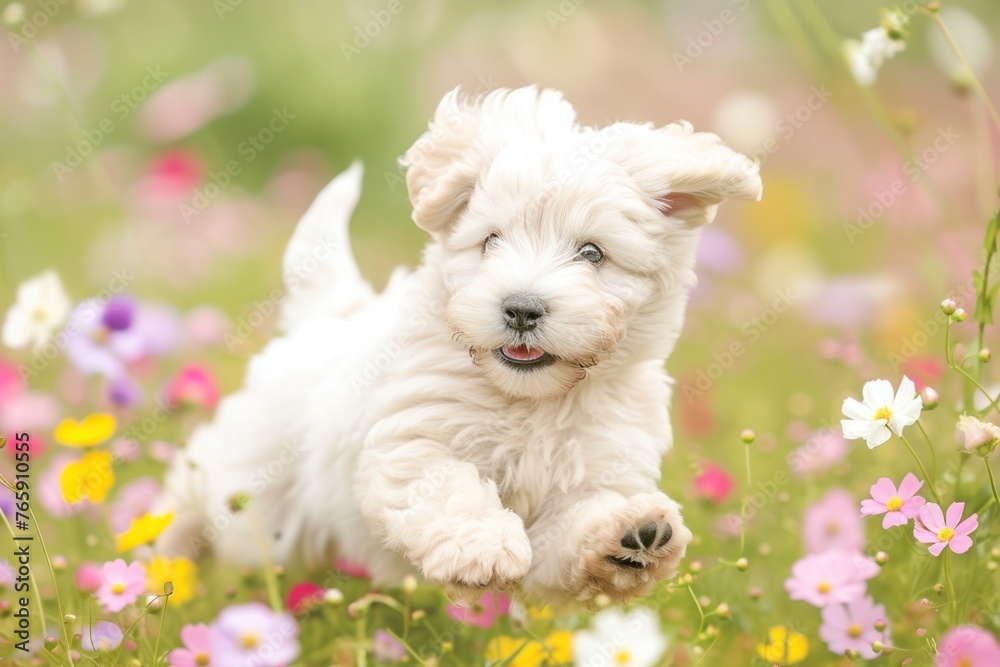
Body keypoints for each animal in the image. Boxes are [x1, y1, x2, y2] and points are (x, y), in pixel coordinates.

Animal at [156, 86, 760, 604]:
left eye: (592, 253)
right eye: (490, 240)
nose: (521, 308)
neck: (536, 401)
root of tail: (330, 316)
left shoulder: (602, 464)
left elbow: (570, 532)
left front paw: (630, 535)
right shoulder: (413, 438)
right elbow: (450, 487)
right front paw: (483, 546)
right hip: (255, 490)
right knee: (200, 484)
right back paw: (169, 545)